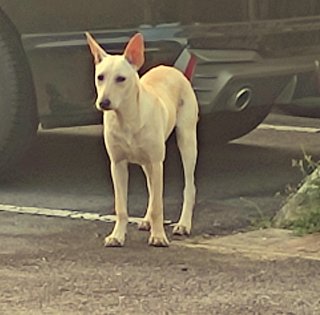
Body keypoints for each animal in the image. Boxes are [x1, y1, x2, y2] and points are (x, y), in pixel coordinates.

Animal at [86, 32, 199, 248]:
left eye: (121, 79)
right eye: (100, 77)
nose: (103, 103)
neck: (127, 118)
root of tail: (173, 70)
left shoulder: (157, 162)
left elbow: (158, 205)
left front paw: (158, 236)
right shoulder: (117, 165)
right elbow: (122, 206)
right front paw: (117, 235)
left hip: (186, 140)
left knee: (188, 186)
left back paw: (183, 224)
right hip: (147, 162)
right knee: (152, 190)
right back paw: (147, 220)